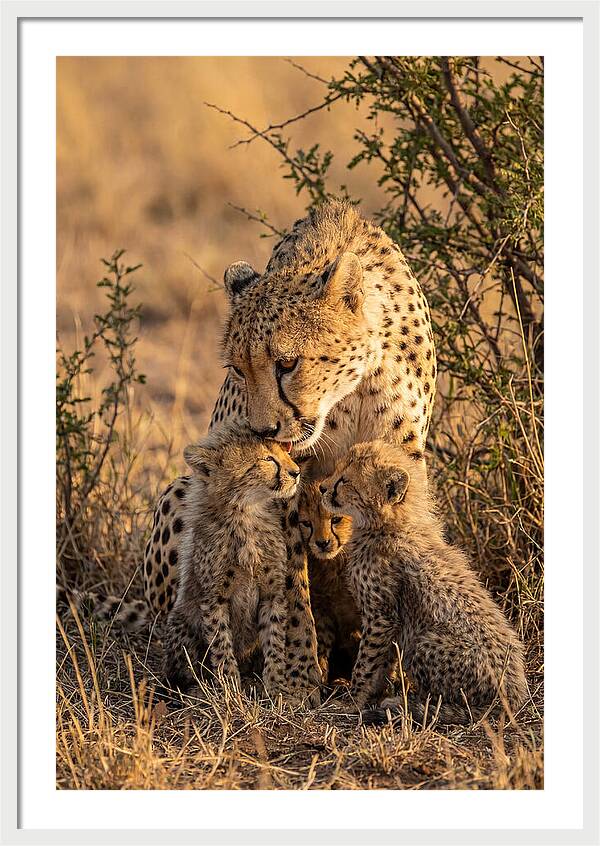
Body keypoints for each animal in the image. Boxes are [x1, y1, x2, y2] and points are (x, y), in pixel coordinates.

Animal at [161, 421, 308, 702]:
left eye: (284, 452)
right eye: (268, 459)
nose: (296, 472)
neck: (246, 514)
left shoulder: (272, 593)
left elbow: (274, 640)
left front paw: (275, 687)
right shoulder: (214, 598)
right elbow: (221, 645)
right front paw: (229, 689)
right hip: (180, 622)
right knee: (185, 666)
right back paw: (197, 688)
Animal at [298, 481, 360, 684]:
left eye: (336, 519)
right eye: (307, 523)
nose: (322, 543)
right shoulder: (323, 608)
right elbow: (322, 643)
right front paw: (321, 676)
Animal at [320, 440, 528, 725]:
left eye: (344, 481)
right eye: (336, 471)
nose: (322, 487)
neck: (390, 524)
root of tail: (514, 697)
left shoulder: (381, 616)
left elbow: (366, 662)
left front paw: (353, 701)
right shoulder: (389, 621)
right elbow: (382, 663)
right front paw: (373, 694)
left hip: (425, 641)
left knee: (455, 704)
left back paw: (408, 705)